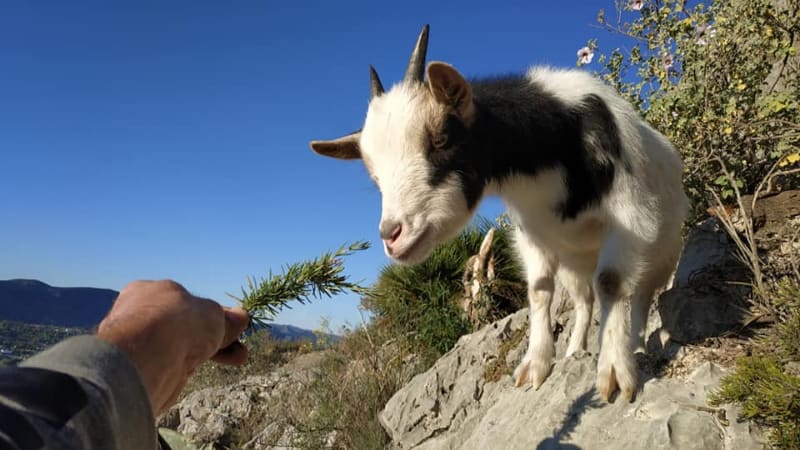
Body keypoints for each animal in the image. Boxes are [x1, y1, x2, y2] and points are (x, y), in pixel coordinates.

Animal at [310, 26, 688, 402]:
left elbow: (611, 282)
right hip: (573, 260)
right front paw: (536, 364)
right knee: (584, 301)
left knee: (641, 295)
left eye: (441, 139)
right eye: (373, 174)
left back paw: (636, 347)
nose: (392, 236)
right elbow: (539, 290)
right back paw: (575, 351)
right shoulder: (533, 234)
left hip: (661, 251)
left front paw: (614, 372)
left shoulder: (629, 217)